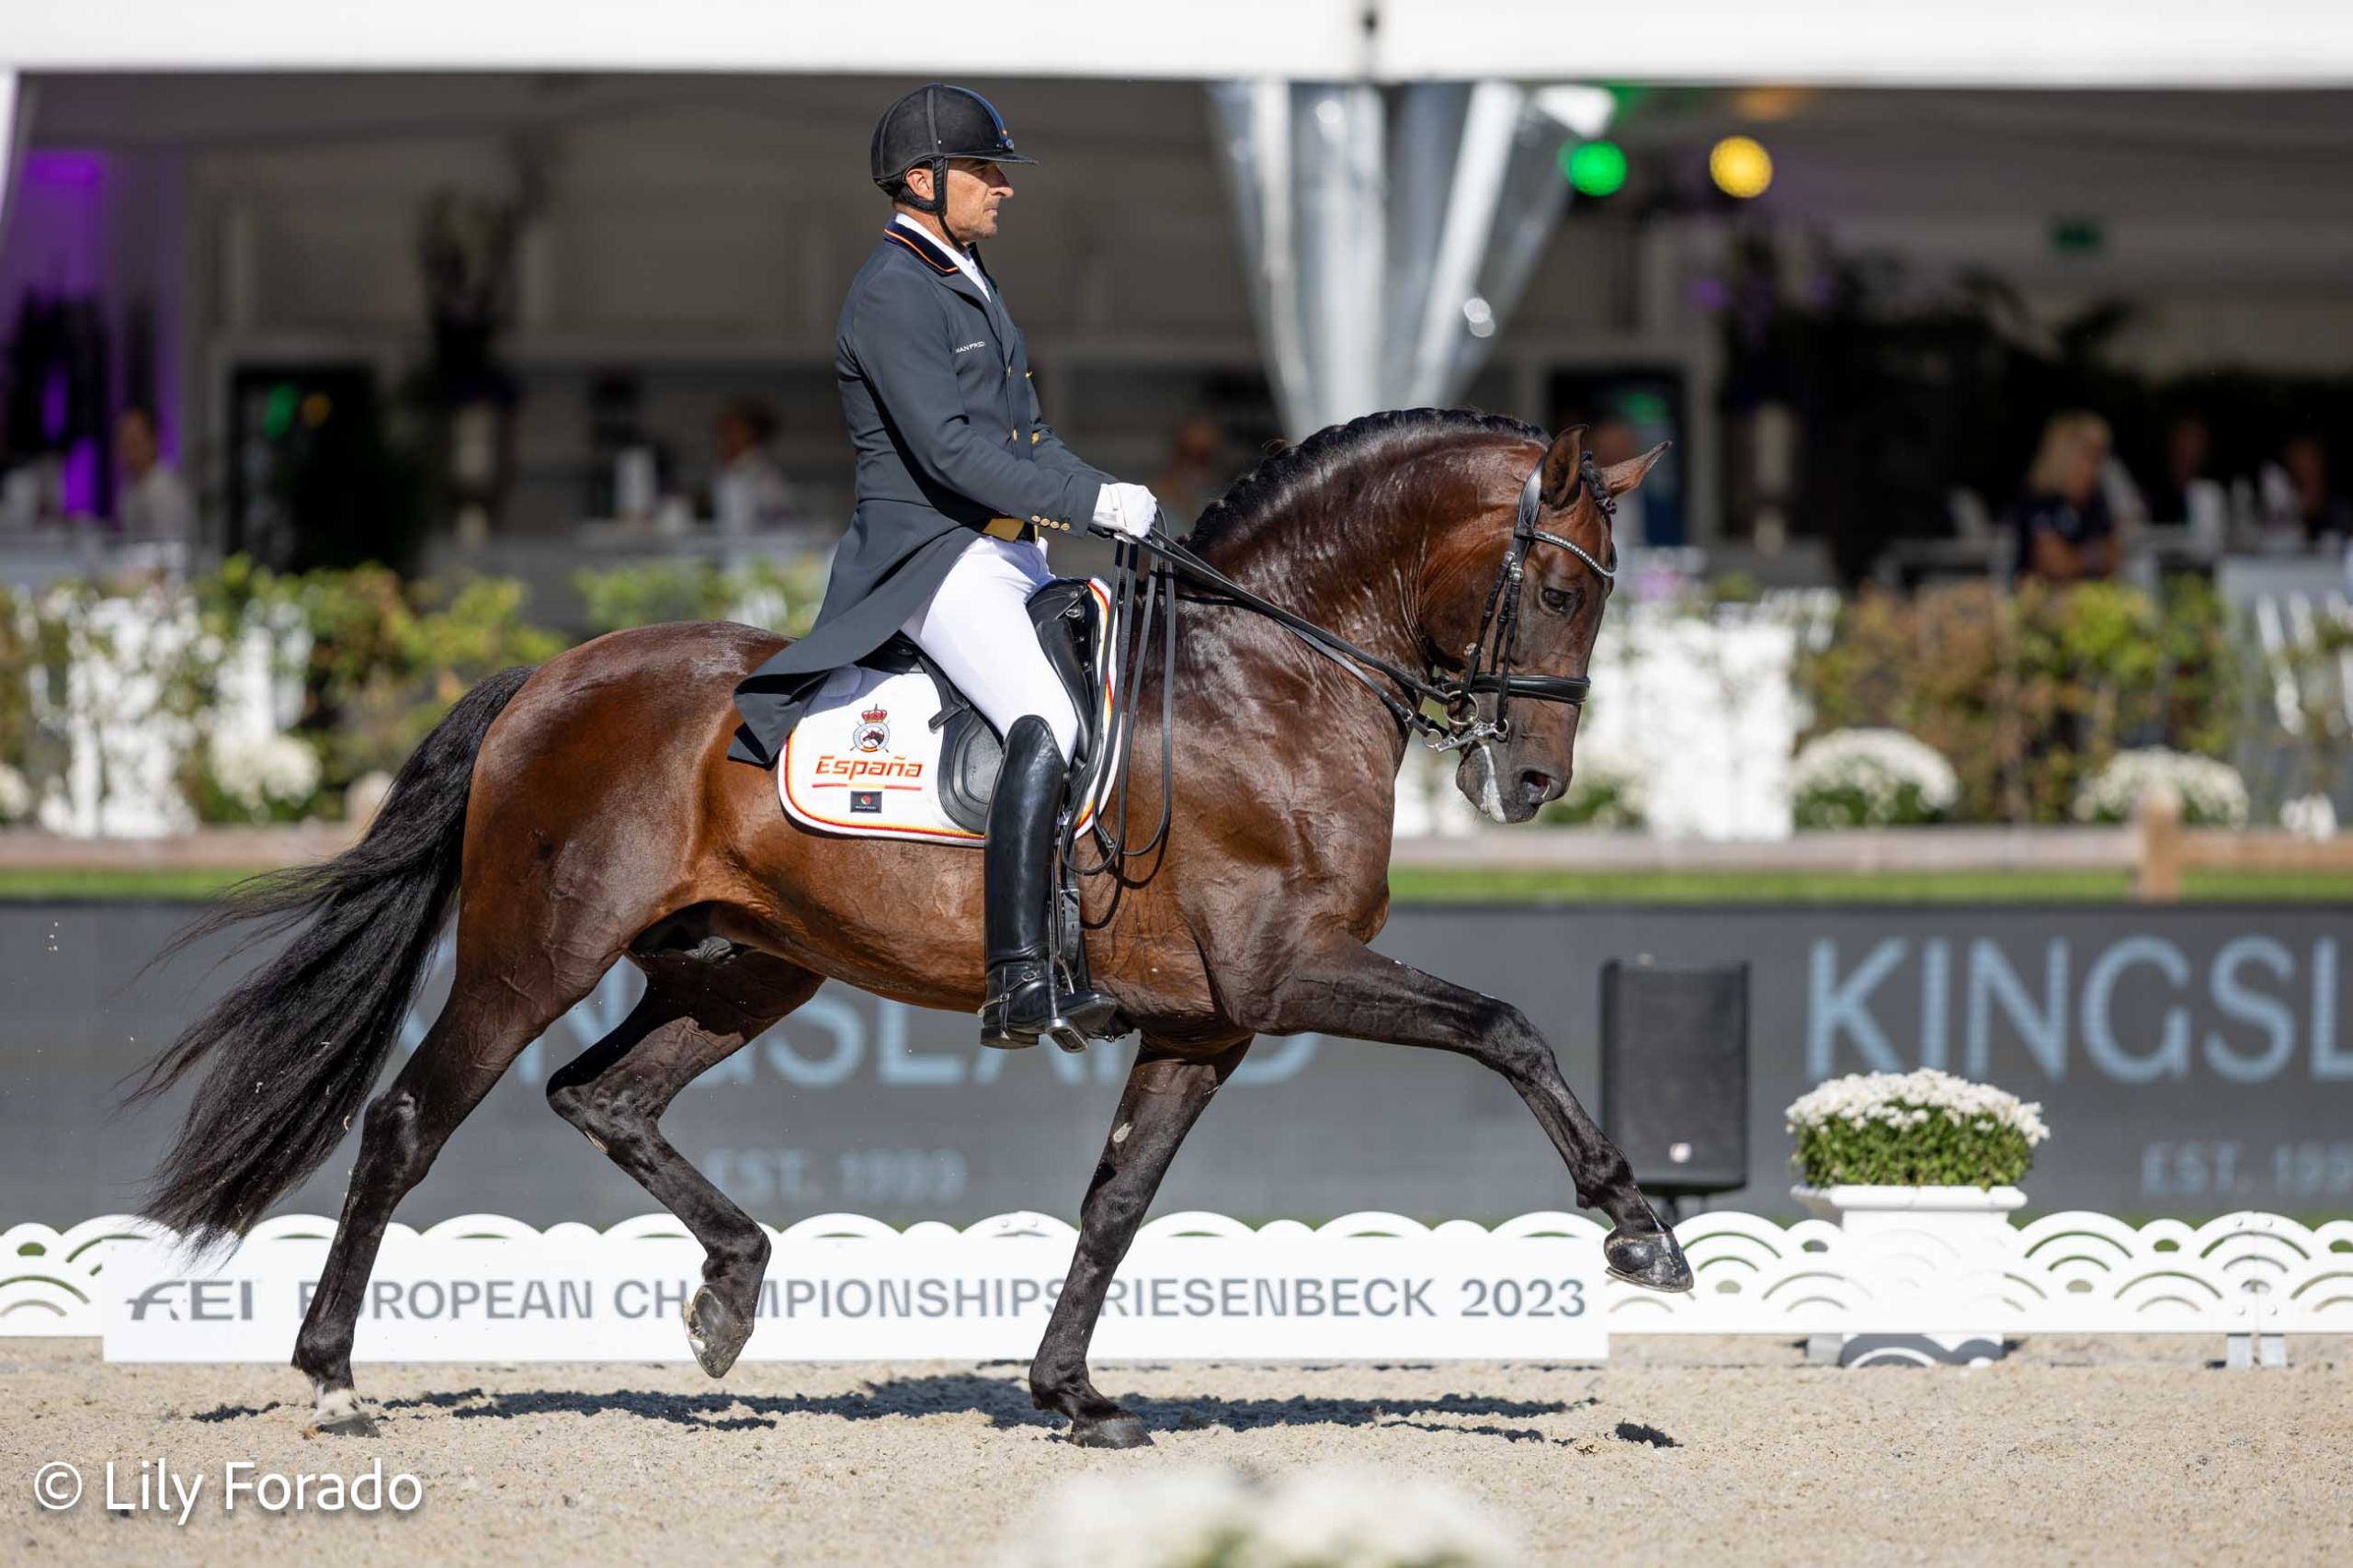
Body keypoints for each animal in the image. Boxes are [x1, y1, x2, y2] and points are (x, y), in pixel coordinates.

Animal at [133, 403, 1694, 1440]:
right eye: (1561, 588)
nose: (1533, 783)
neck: (1269, 678)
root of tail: (549, 676)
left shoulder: (1210, 1020)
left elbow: (1117, 1200)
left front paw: (1071, 1392)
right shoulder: (1287, 972)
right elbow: (1506, 1025)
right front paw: (1639, 1231)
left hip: (745, 972)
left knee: (606, 1095)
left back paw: (729, 1298)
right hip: (539, 951)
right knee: (412, 1118)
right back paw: (334, 1373)